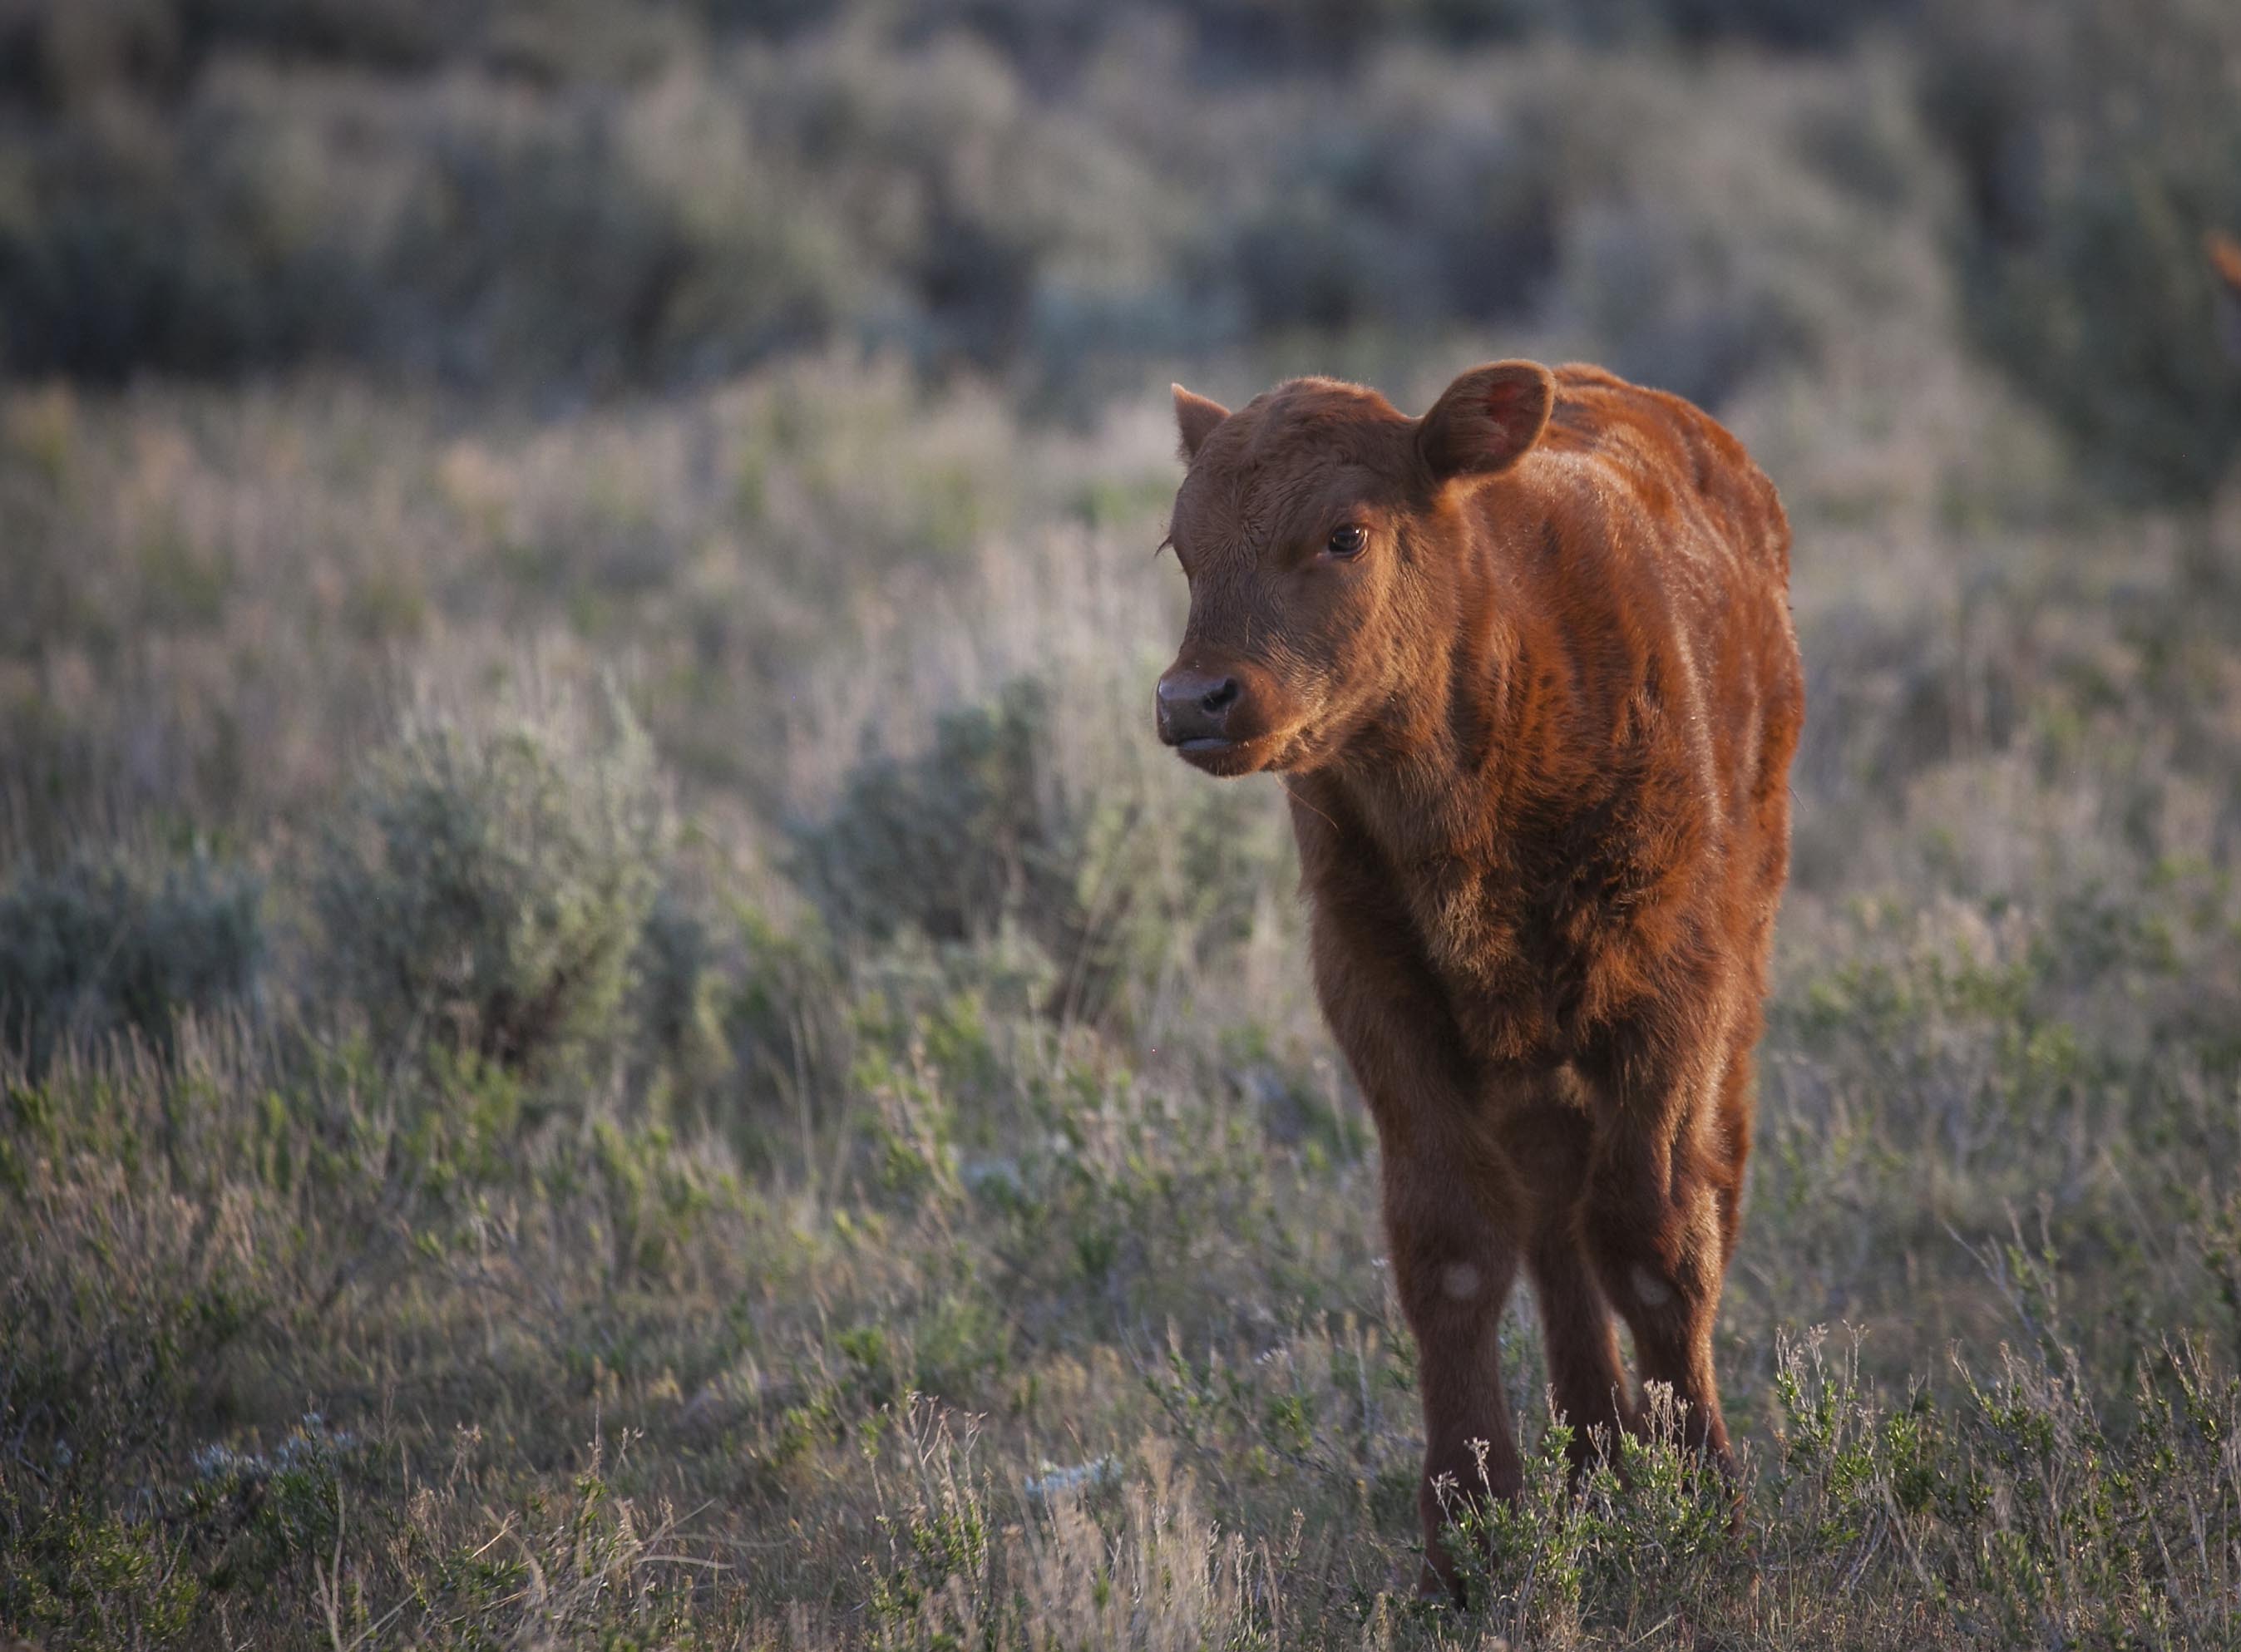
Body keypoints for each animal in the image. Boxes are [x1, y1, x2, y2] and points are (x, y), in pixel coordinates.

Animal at [1154, 360, 1802, 1596]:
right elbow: (1452, 1250)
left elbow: (1655, 1238)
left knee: (1690, 1187)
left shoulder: (1669, 987)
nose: (1192, 700)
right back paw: (1594, 1453)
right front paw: (1468, 1527)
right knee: (1551, 1215)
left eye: (1344, 532)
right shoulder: (1376, 996)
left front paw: (1709, 1500)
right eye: (1180, 545)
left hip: (1735, 964)